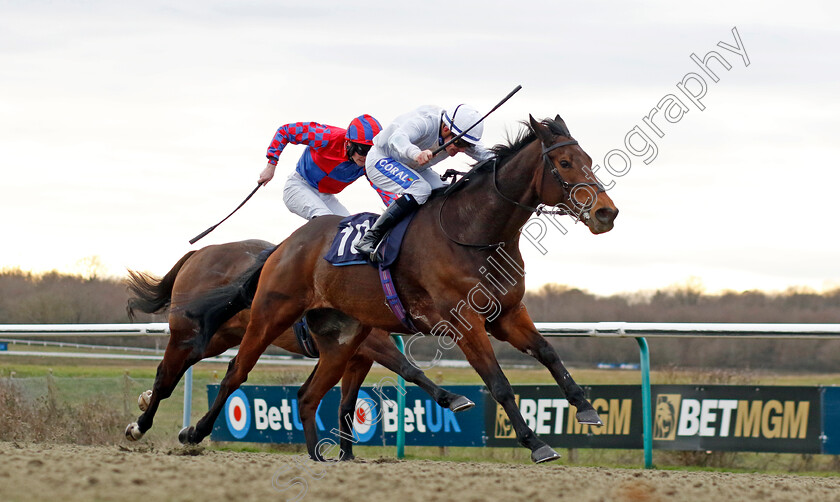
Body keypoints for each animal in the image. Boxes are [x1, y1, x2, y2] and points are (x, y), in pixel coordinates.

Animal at [123, 239, 472, 458]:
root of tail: (199, 252)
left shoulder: (356, 356)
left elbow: (347, 403)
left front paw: (347, 454)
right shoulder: (373, 343)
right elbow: (410, 370)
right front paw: (452, 398)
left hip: (219, 336)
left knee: (178, 368)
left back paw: (147, 403)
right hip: (193, 330)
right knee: (167, 374)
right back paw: (141, 426)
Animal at [180, 116, 620, 462]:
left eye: (589, 160)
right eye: (564, 162)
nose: (606, 213)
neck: (472, 232)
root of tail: (286, 244)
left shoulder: (508, 313)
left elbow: (548, 352)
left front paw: (585, 408)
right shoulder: (463, 322)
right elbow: (498, 383)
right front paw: (536, 443)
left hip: (343, 339)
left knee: (307, 395)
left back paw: (318, 456)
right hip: (271, 313)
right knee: (236, 372)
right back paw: (194, 432)